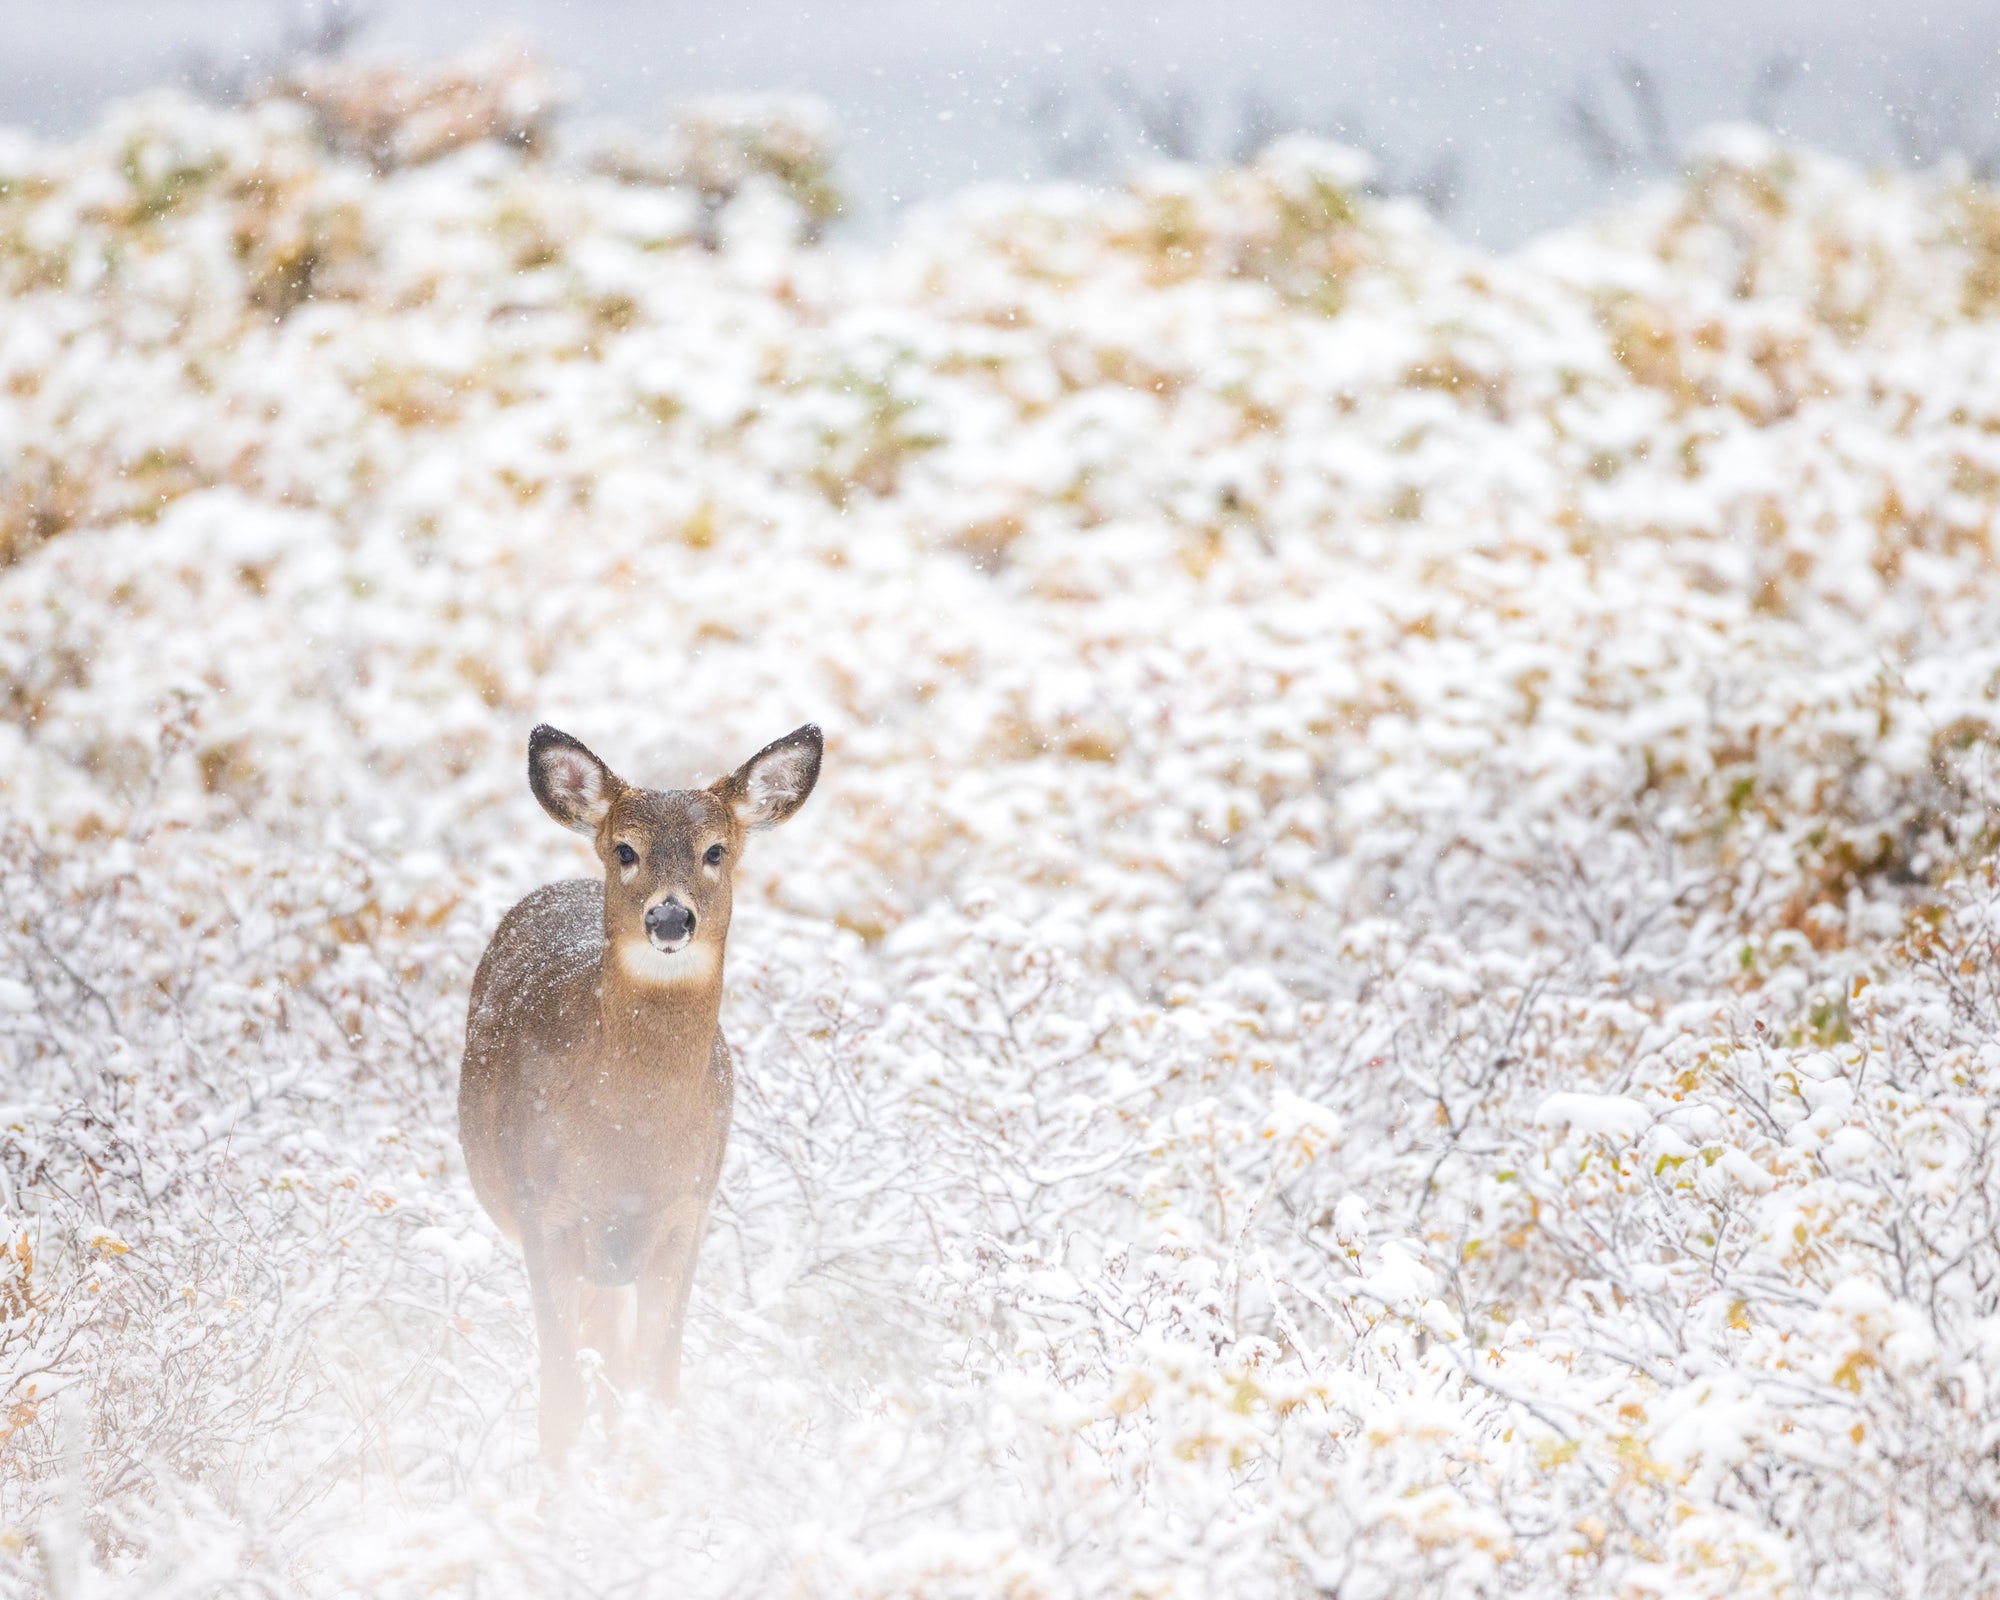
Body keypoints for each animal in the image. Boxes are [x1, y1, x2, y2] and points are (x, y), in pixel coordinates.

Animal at [460, 720, 820, 1464]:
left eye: (716, 851)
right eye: (626, 849)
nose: (670, 919)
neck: (629, 1145)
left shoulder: (687, 1214)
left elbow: (660, 1390)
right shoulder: (543, 1208)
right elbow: (561, 1398)